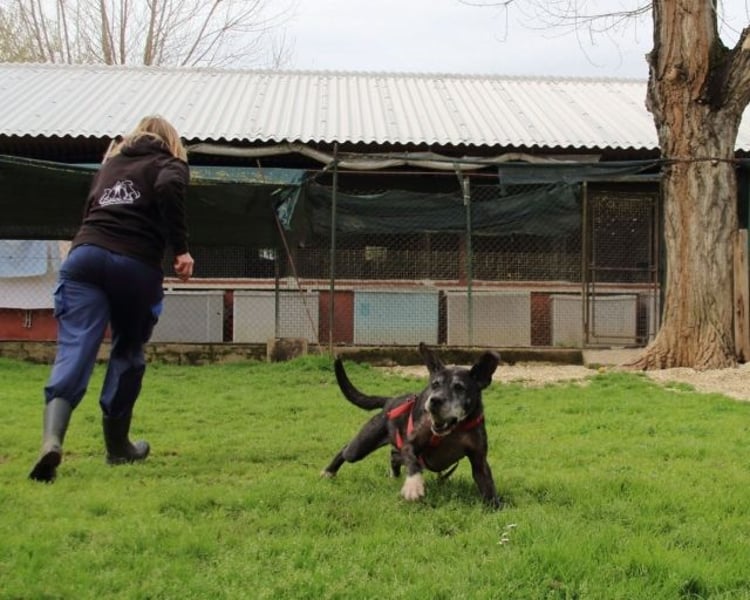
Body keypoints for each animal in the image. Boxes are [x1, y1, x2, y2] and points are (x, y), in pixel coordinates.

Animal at [321, 343, 501, 508]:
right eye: (434, 384)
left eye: (459, 387)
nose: (434, 400)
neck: (454, 431)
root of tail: (390, 401)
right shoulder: (410, 444)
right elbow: (413, 463)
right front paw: (413, 486)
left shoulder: (479, 461)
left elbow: (487, 485)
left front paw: (495, 507)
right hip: (362, 445)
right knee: (346, 451)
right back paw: (329, 472)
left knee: (394, 455)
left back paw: (394, 476)